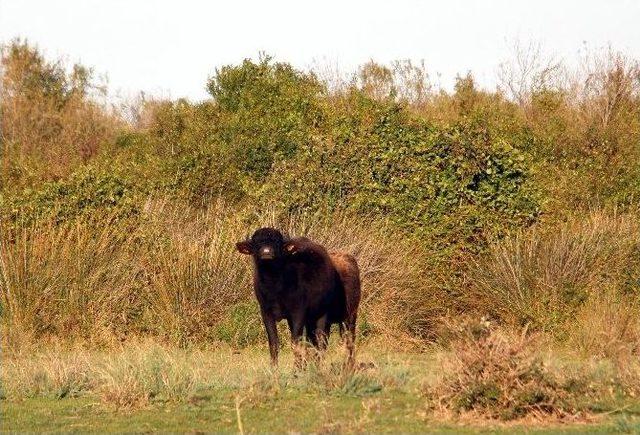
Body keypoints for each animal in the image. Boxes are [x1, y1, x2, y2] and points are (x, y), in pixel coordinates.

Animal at [238, 228, 362, 368]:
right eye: (256, 242)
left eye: (277, 242)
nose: (266, 252)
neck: (275, 288)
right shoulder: (266, 313)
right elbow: (274, 343)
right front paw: (274, 368)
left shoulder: (298, 313)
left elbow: (295, 342)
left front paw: (296, 368)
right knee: (316, 341)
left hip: (346, 315)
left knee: (342, 339)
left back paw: (347, 365)